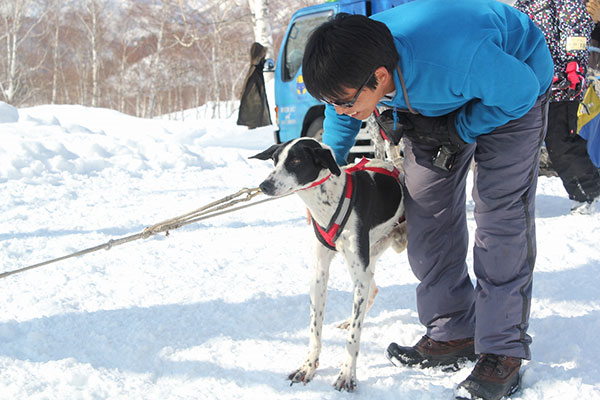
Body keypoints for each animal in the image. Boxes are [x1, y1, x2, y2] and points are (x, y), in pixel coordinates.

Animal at [248, 138, 408, 390]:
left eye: (295, 160)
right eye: (275, 159)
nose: (264, 185)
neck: (331, 201)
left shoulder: (358, 272)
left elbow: (353, 339)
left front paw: (347, 374)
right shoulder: (320, 274)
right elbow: (315, 329)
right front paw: (307, 367)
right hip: (369, 258)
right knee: (372, 290)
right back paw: (348, 320)